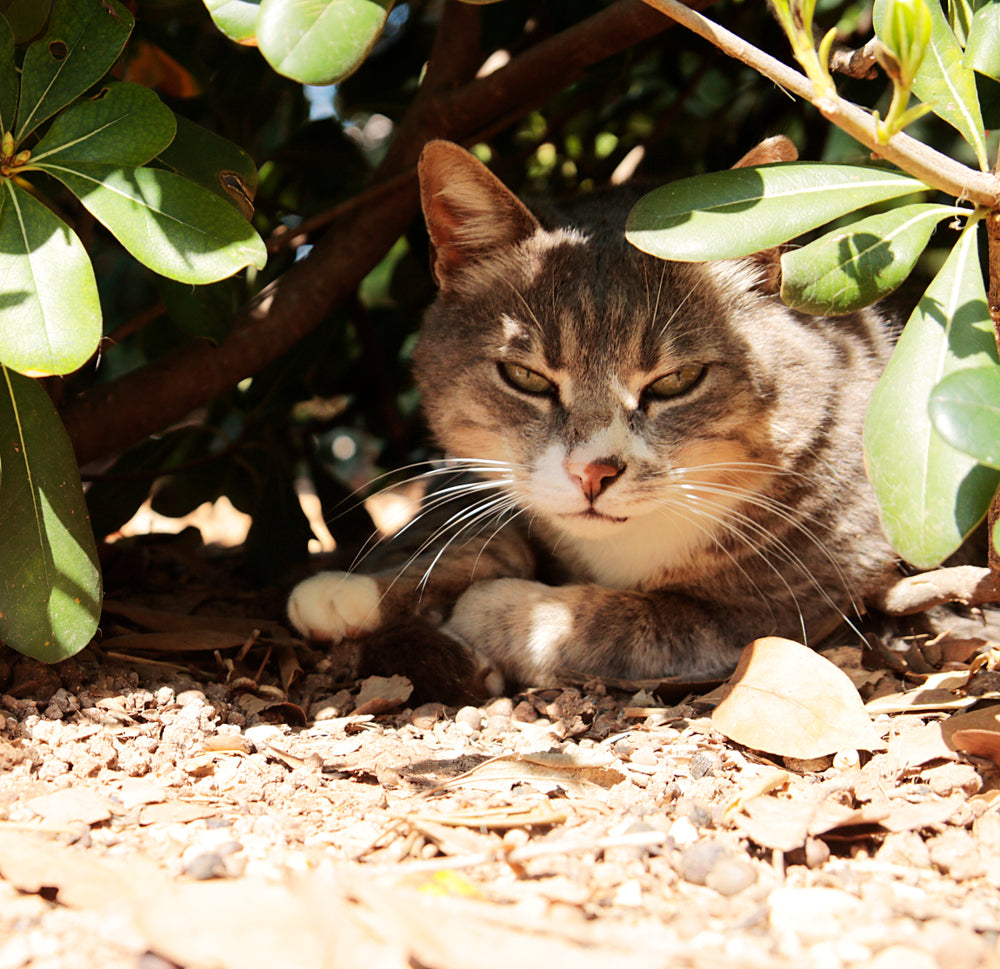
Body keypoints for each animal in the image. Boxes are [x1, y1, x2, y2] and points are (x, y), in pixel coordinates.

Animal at [288, 136, 900, 696]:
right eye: (526, 377)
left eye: (676, 380)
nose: (592, 472)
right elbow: (481, 536)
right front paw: (355, 590)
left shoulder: (780, 600)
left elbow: (622, 618)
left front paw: (498, 611)